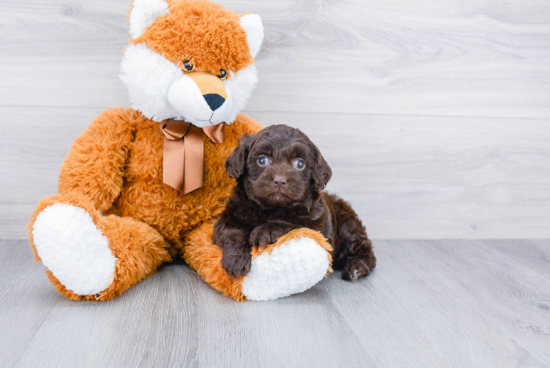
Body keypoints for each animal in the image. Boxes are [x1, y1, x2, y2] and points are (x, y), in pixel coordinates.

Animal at [213, 125, 378, 280]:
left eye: (299, 164)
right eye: (262, 160)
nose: (280, 180)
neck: (272, 208)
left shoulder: (319, 230)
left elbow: (295, 225)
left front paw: (265, 231)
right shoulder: (228, 218)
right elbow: (234, 233)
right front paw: (237, 260)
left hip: (348, 224)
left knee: (364, 248)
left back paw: (357, 268)